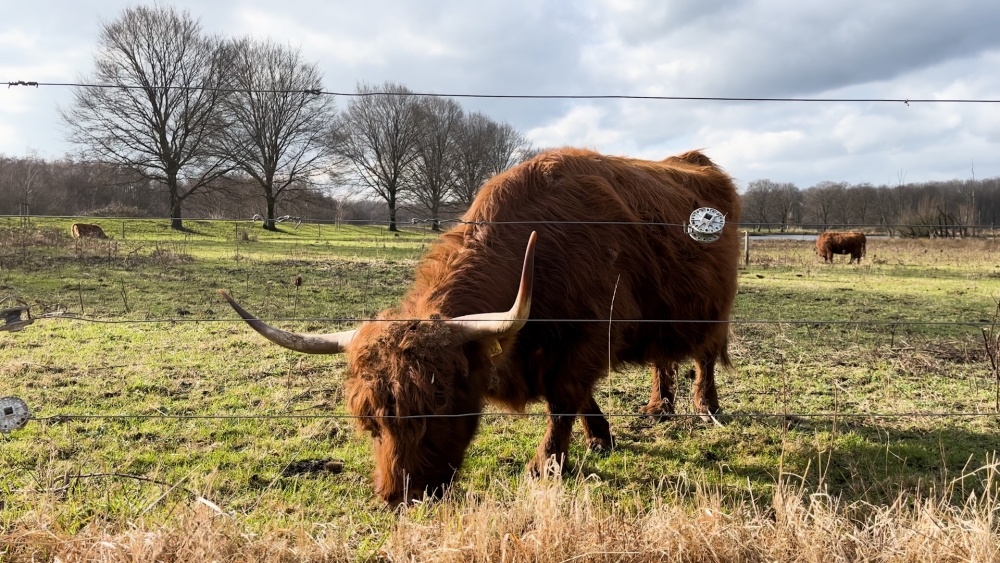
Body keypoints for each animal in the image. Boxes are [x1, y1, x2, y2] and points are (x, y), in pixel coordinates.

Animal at [221, 148, 744, 504]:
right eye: (369, 421)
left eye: (437, 405)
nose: (399, 497)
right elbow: (578, 399)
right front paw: (600, 438)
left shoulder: (589, 336)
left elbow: (564, 399)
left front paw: (545, 465)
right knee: (663, 357)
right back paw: (659, 406)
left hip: (712, 306)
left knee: (703, 355)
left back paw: (705, 407)